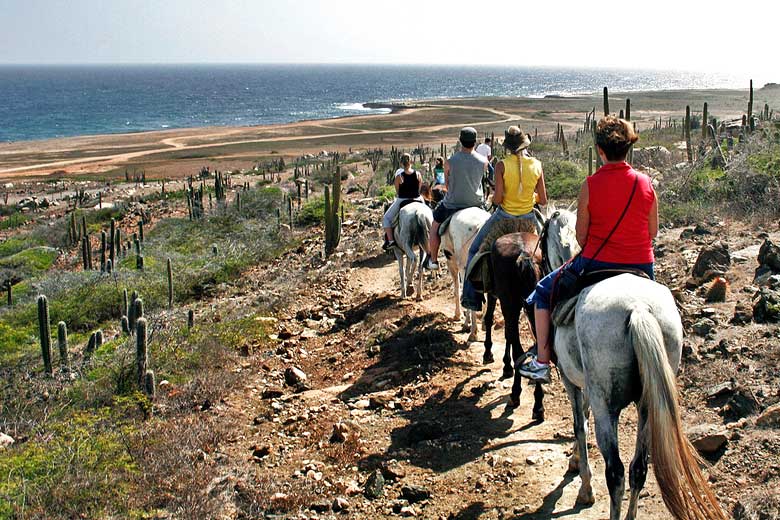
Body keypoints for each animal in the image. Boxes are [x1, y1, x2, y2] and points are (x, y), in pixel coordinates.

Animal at [516, 232, 728, 520]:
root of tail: (638, 308)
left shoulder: (572, 382)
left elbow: (580, 425)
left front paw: (584, 485)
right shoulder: (586, 384)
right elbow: (583, 419)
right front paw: (575, 462)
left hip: (607, 406)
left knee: (615, 473)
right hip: (648, 403)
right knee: (638, 468)